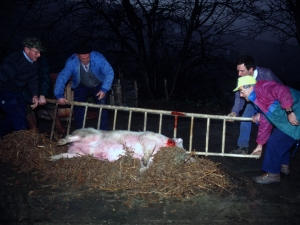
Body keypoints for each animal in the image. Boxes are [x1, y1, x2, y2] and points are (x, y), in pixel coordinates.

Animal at [49, 128, 183, 174]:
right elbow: (147, 151)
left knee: (64, 154)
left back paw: (50, 158)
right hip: (87, 134)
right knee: (71, 137)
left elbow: (145, 165)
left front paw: (140, 171)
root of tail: (73, 146)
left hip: (77, 155)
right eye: (181, 148)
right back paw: (59, 142)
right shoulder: (148, 138)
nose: (185, 159)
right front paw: (144, 162)